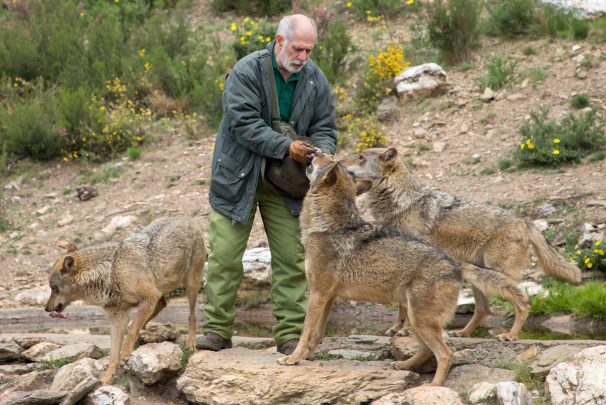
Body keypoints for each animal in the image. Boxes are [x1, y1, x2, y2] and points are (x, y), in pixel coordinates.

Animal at [44, 216, 208, 384]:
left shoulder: (149, 296)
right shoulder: (119, 318)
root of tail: (186, 219)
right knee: (161, 305)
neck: (111, 270)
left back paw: (191, 343)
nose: (46, 308)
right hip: (159, 290)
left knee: (191, 315)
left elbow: (131, 331)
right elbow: (113, 355)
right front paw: (106, 379)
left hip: (190, 286)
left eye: (54, 288)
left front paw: (126, 353)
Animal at [203, 14, 338, 352]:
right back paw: (212, 335)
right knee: (224, 263)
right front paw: (294, 148)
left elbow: (324, 122)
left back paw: (290, 341)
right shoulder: (242, 83)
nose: (302, 59)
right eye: (298, 48)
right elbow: (248, 119)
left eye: (307, 50)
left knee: (289, 265)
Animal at [278, 153, 528, 384]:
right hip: (414, 317)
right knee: (427, 350)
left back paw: (433, 387)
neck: (328, 226)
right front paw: (306, 356)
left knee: (445, 353)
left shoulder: (317, 294)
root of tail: (454, 263)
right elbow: (316, 334)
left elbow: (305, 331)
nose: (314, 152)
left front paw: (293, 358)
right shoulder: (328, 297)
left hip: (420, 320)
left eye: (328, 160)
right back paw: (403, 366)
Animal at [342, 147, 584, 340]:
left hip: (496, 275)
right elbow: (401, 307)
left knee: (520, 302)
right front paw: (397, 328)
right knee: (484, 309)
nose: (339, 163)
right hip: (478, 277)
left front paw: (406, 331)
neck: (400, 204)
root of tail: (524, 221)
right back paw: (463, 332)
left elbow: (406, 306)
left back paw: (510, 335)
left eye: (360, 157)